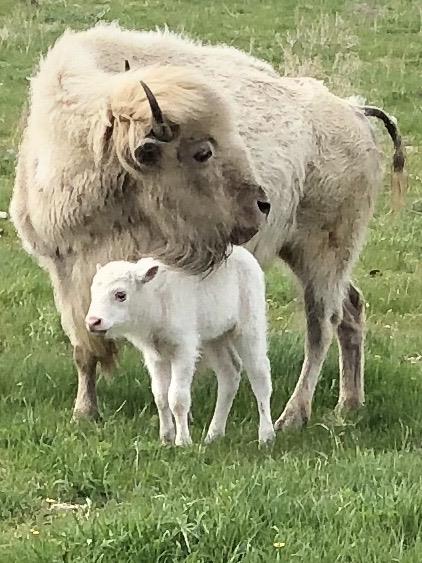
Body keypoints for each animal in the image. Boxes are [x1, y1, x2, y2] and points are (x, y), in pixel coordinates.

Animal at [87, 246, 276, 446]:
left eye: (121, 295)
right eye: (93, 292)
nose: (93, 322)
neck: (154, 295)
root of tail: (245, 255)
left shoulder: (183, 350)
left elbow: (177, 398)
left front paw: (183, 441)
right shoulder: (155, 356)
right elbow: (160, 396)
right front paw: (166, 439)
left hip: (249, 329)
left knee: (260, 376)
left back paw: (266, 437)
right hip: (215, 339)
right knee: (229, 373)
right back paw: (213, 435)